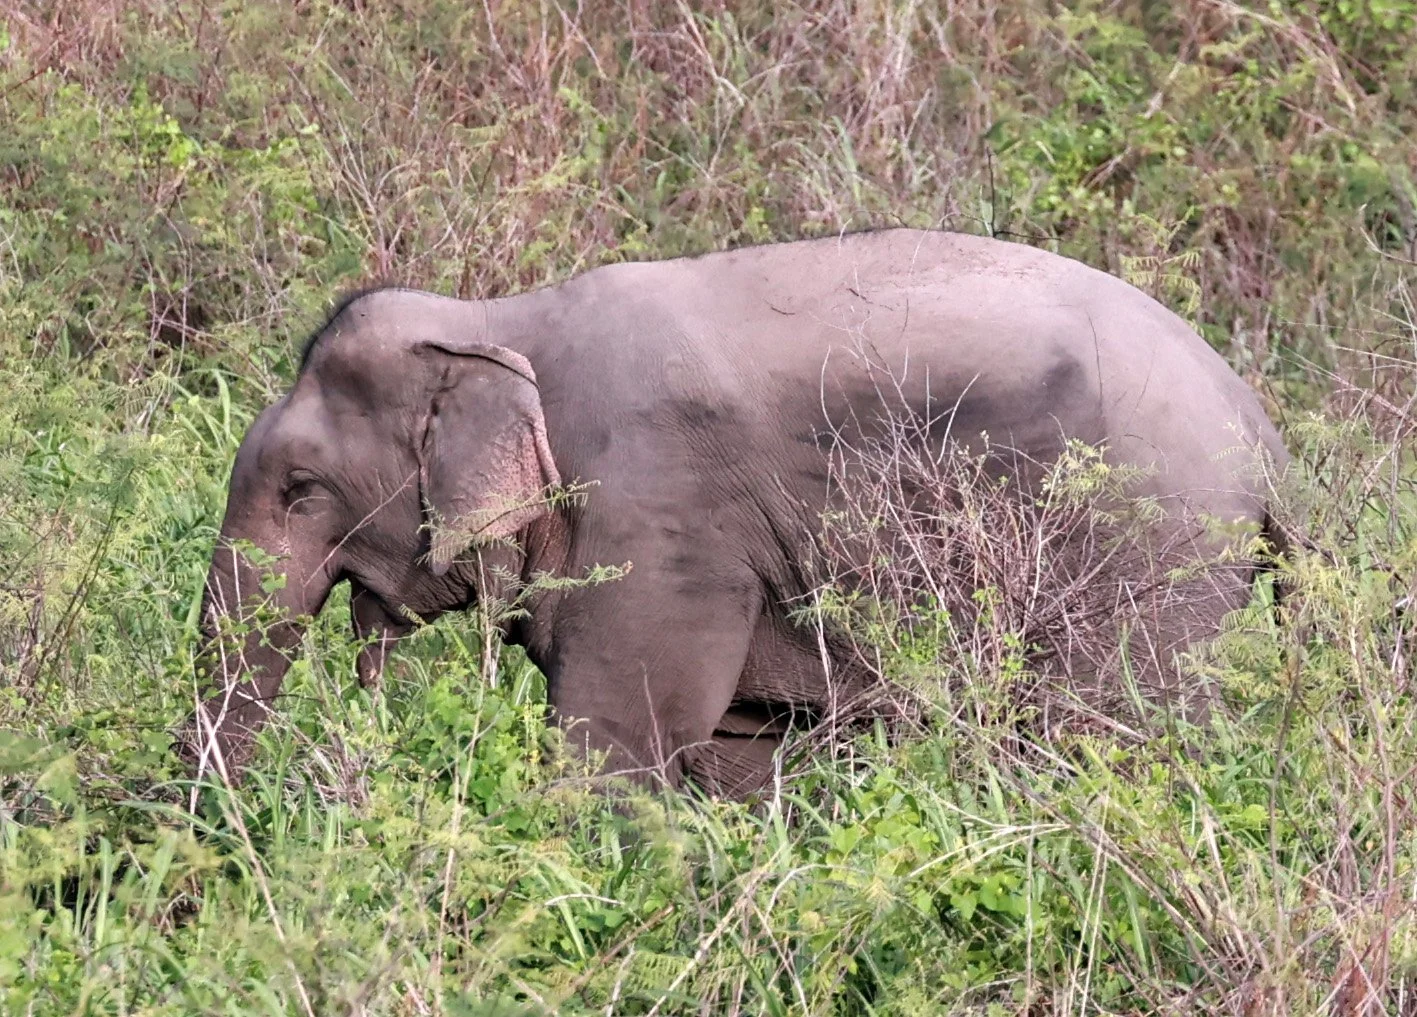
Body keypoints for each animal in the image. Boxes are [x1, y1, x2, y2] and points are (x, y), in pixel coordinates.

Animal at [183, 228, 1289, 794]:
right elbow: (732, 749)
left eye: (302, 489)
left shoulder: (660, 511)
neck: (492, 319)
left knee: (1105, 736)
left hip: (1152, 556)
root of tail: (1260, 427)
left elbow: (617, 737)